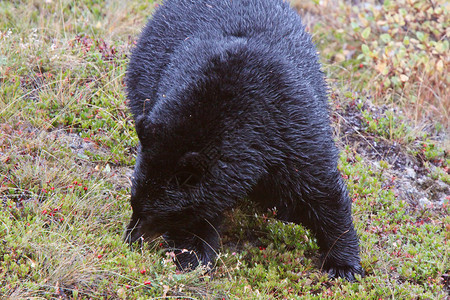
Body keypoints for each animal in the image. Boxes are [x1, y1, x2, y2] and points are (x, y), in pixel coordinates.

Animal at [125, 0, 364, 282]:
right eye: (134, 202)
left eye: (156, 212)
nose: (130, 239)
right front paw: (194, 257)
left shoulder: (291, 127)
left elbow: (320, 190)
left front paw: (343, 264)